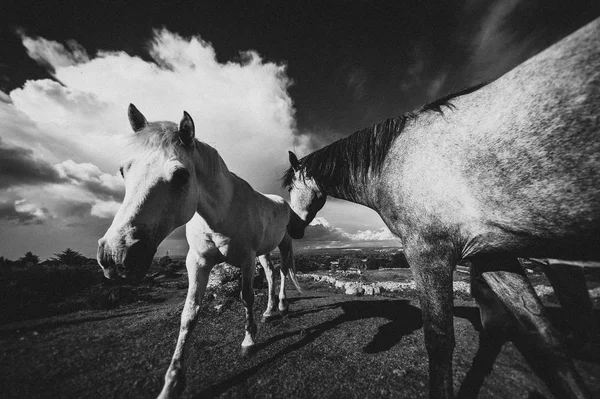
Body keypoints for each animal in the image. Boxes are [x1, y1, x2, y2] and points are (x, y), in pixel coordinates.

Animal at [99, 104, 304, 398]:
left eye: (181, 175)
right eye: (123, 170)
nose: (116, 255)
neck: (221, 213)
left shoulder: (245, 259)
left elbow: (246, 298)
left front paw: (249, 341)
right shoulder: (197, 262)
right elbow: (189, 314)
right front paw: (172, 382)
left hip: (282, 245)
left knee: (284, 272)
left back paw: (283, 305)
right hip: (264, 252)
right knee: (271, 273)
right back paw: (269, 311)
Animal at [284, 18, 596, 399]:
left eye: (290, 188)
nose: (292, 229)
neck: (392, 159)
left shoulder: (428, 252)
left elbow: (439, 341)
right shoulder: (493, 253)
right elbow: (542, 337)